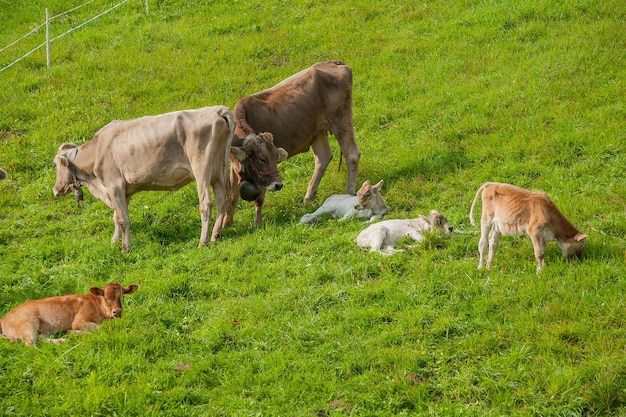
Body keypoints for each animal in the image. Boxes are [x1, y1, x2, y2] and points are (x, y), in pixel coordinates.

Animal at [0, 282, 138, 346]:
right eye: (106, 298)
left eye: (122, 296)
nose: (117, 311)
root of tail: (3, 317)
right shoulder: (78, 321)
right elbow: (98, 329)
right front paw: (74, 333)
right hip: (28, 325)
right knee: (30, 344)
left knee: (41, 338)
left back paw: (61, 340)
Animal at [51, 105, 234, 252]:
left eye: (54, 165)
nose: (55, 190)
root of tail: (217, 110)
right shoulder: (124, 191)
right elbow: (117, 217)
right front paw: (113, 243)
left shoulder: (114, 185)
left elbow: (122, 219)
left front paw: (125, 248)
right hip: (219, 171)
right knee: (222, 200)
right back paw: (216, 236)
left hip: (202, 168)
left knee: (206, 203)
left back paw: (203, 242)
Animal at [227, 59, 358, 224]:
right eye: (262, 159)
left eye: (274, 158)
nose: (278, 185)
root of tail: (333, 62)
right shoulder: (234, 167)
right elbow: (231, 198)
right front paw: (224, 226)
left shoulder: (263, 176)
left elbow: (259, 200)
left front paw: (257, 224)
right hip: (318, 131)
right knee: (323, 158)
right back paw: (308, 196)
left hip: (341, 119)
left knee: (352, 155)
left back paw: (349, 191)